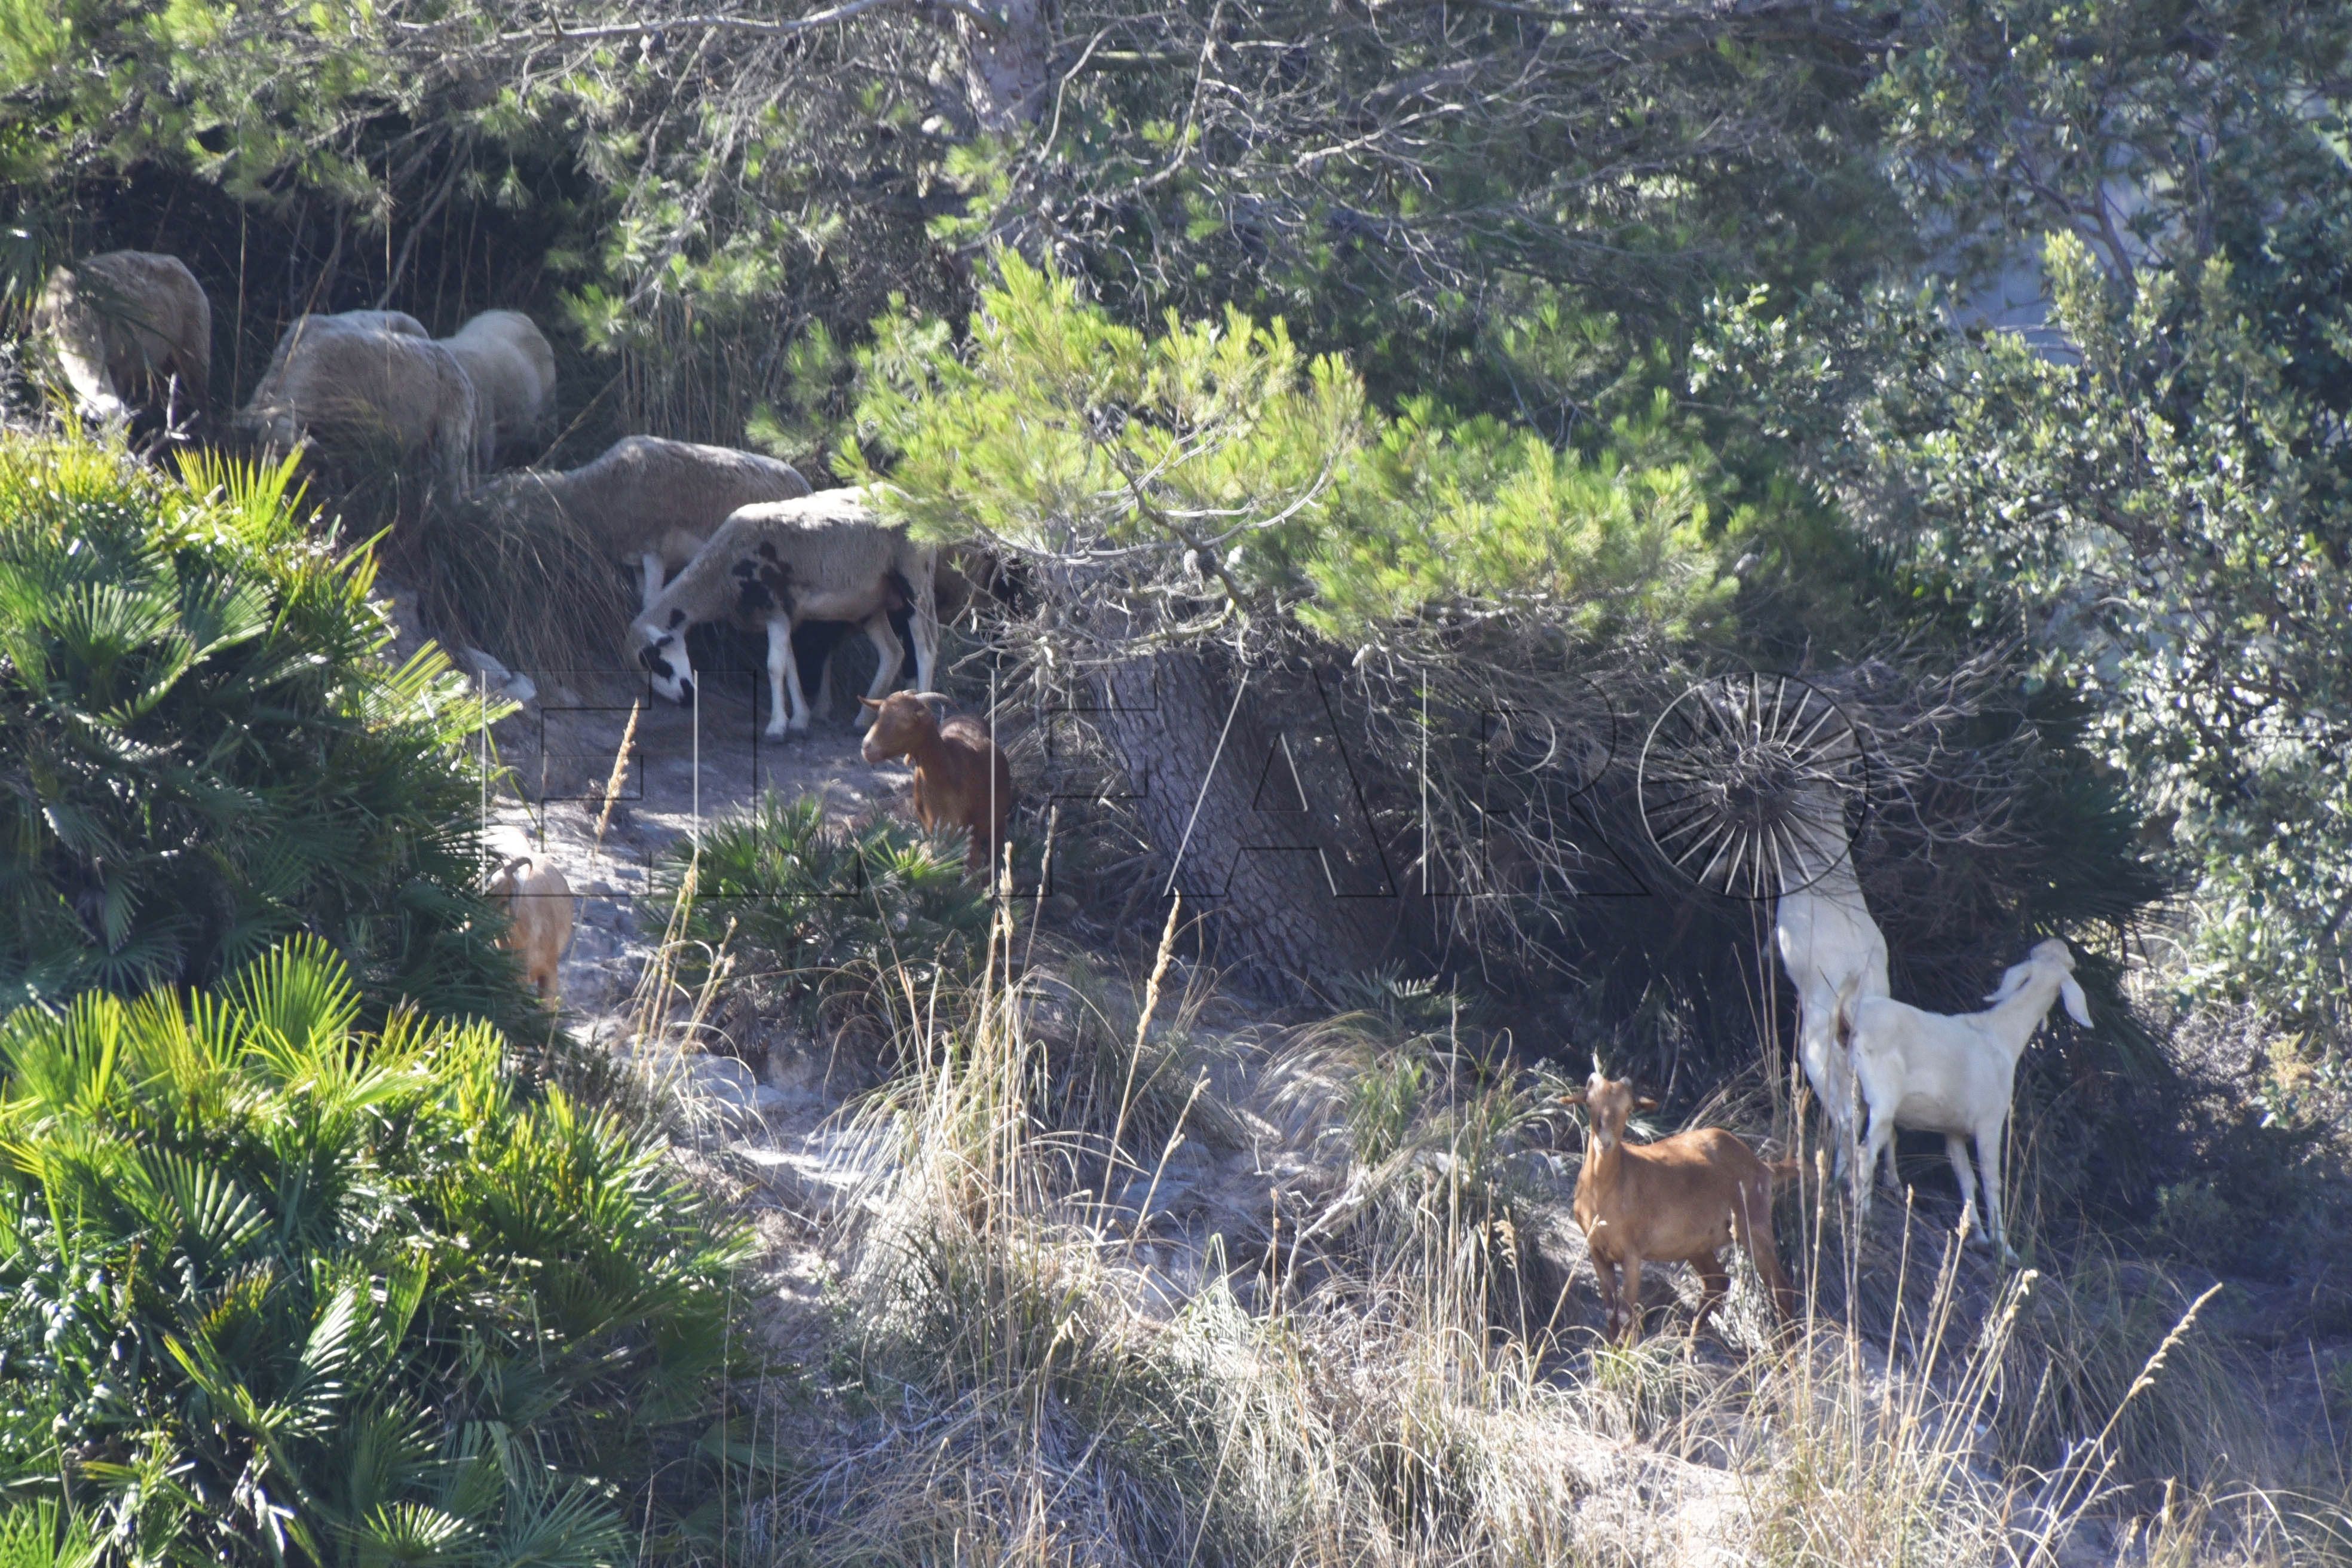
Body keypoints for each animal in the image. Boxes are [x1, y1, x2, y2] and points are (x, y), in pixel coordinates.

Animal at [484, 435, 811, 610]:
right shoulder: (637, 562)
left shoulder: (654, 553)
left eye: (507, 499)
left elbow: (652, 604)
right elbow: (641, 601)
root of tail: (806, 484)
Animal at [629, 488, 938, 738]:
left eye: (657, 662)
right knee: (893, 652)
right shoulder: (784, 615)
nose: (687, 700)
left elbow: (775, 667)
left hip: (914, 581)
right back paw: (863, 720)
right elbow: (790, 666)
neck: (720, 576)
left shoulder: (777, 608)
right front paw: (799, 721)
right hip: (870, 604)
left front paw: (777, 728)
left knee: (925, 650)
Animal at [859, 691, 1015, 875]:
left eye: (905, 720)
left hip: (997, 822)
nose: (866, 747)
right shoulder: (936, 833)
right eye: (879, 715)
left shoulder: (970, 835)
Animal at [1560, 1065, 1797, 1344]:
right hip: (1696, 1243)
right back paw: (1687, 1340)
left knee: (1781, 1288)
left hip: (1753, 1225)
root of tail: (1764, 1167)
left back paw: (1785, 1352)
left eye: (1628, 1108)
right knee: (1718, 1282)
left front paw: (1623, 1351)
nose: (1605, 1142)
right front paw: (1611, 1348)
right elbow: (1609, 1310)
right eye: (1590, 1103)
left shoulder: (1633, 1253)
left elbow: (1626, 1313)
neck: (1605, 1192)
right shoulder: (1596, 1250)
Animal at [1838, 937, 2091, 1259]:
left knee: (1845, 1132)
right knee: (1865, 1153)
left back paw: (1839, 1189)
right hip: (1883, 1098)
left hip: (1854, 1090)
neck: (2000, 1035)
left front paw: (1977, 1236)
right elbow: (1992, 1182)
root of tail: (1858, 1016)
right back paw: (1865, 1216)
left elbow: (1966, 1178)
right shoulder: (1990, 1123)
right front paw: (2004, 1248)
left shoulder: (1953, 1130)